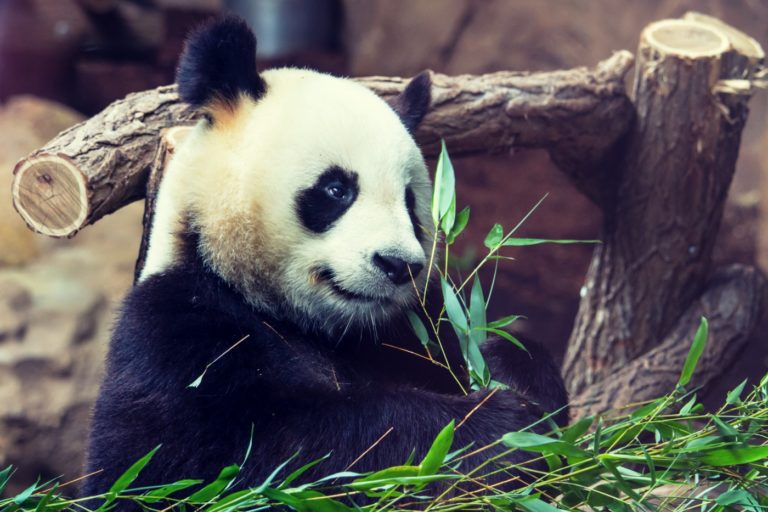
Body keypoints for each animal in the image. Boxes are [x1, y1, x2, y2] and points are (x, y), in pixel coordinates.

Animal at [82, 16, 568, 500]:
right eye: (337, 189)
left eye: (411, 202)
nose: (397, 265)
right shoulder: (174, 327)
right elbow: (261, 453)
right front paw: (499, 432)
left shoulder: (413, 324)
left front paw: (509, 374)